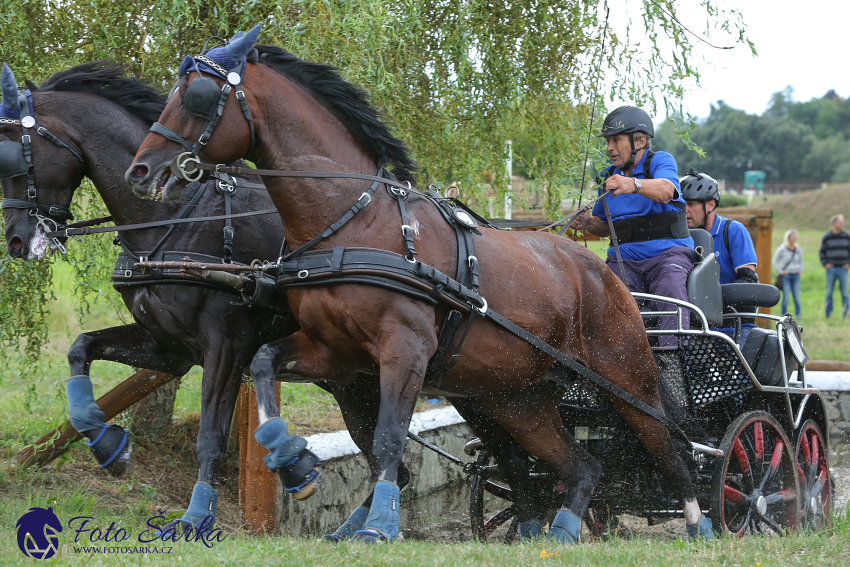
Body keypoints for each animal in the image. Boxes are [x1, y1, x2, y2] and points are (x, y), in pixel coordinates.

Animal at [126, 27, 708, 544]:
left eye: (198, 98)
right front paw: (294, 464)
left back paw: (700, 524)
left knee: (671, 450)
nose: (142, 171)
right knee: (582, 465)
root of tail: (602, 273)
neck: (354, 223)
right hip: (518, 401)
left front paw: (380, 526)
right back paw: (562, 531)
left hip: (627, 379)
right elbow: (266, 364)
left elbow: (388, 441)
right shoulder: (337, 354)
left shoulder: (403, 349)